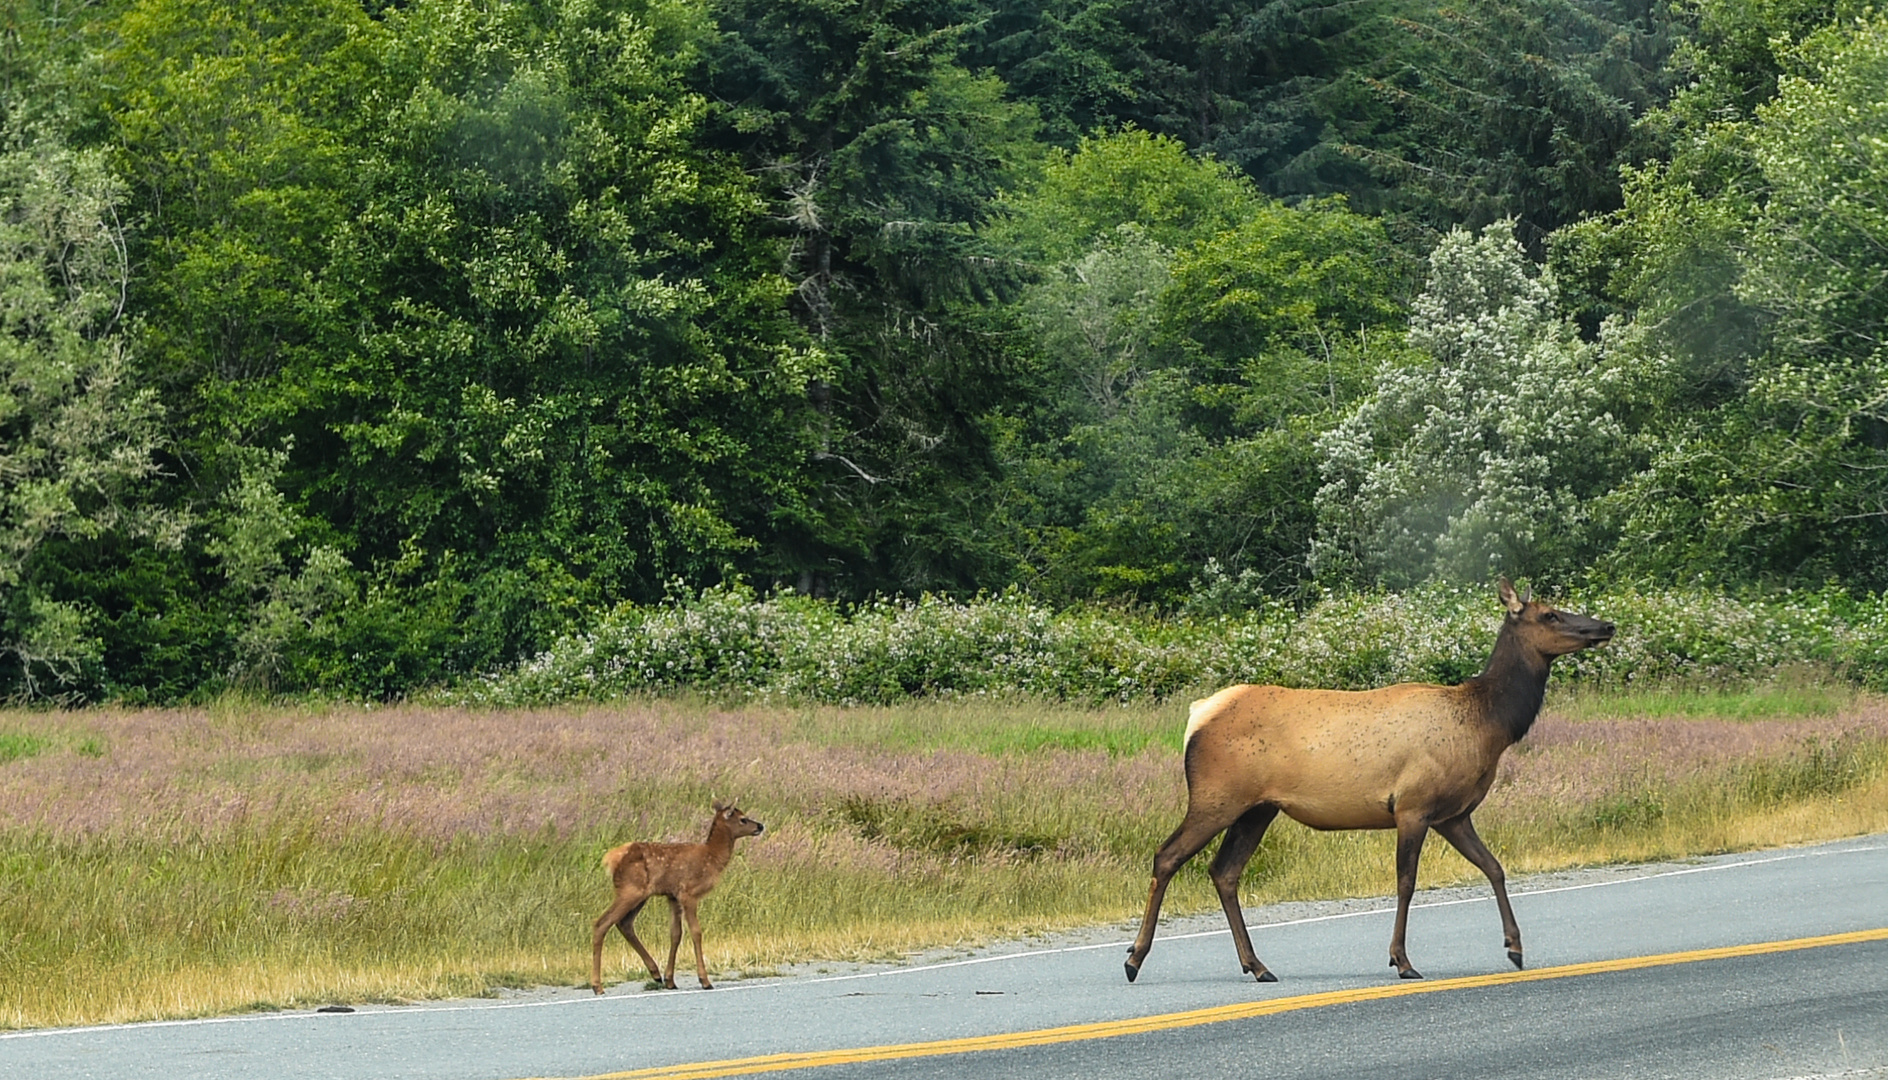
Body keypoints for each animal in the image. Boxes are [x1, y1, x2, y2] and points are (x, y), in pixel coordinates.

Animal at [592, 796, 762, 989]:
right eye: (743, 819)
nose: (760, 826)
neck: (711, 857)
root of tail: (611, 859)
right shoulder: (688, 893)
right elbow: (696, 932)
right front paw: (704, 980)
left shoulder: (672, 896)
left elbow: (676, 934)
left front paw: (670, 980)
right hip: (630, 890)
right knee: (602, 923)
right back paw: (597, 986)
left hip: (640, 895)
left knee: (624, 923)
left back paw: (655, 973)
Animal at [1125, 577, 1616, 981]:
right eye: (1549, 614)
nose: (1606, 626)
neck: (1487, 725)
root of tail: (1196, 716)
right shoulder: (1414, 805)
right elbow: (1406, 882)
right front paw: (1402, 960)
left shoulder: (1453, 814)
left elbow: (1494, 866)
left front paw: (1515, 947)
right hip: (1216, 795)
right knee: (1167, 856)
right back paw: (1134, 958)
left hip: (1258, 808)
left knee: (1224, 871)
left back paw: (1257, 965)